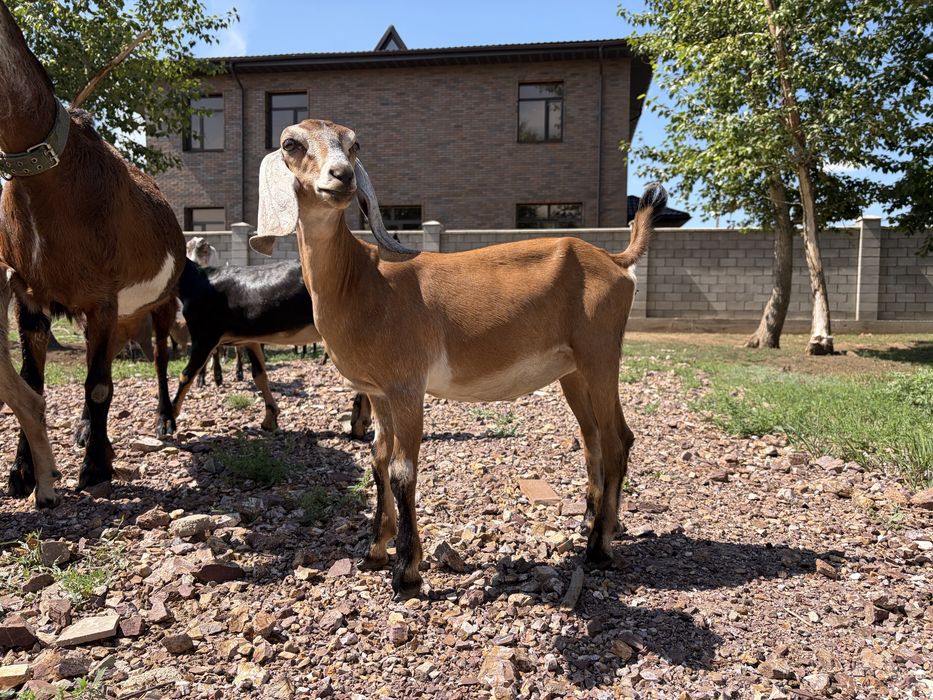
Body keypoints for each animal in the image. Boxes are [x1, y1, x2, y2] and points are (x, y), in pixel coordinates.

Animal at [0, 1, 184, 503]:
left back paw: (164, 421)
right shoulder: (30, 296)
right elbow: (31, 384)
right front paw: (23, 473)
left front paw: (97, 469)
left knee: (159, 356)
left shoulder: (104, 298)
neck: (50, 177)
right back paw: (84, 430)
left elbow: (100, 385)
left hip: (162, 301)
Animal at [172, 258, 372, 438]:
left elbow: (186, 375)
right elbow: (259, 375)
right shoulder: (250, 340)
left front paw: (169, 419)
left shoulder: (205, 336)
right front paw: (270, 419)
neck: (197, 280)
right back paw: (362, 421)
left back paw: (359, 423)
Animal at [251, 119, 666, 598]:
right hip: (573, 370)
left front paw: (407, 572)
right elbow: (376, 459)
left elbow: (402, 470)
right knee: (594, 439)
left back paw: (598, 549)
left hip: (601, 353)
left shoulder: (407, 385)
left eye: (354, 145)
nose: (341, 177)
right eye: (291, 144)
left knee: (618, 440)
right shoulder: (378, 392)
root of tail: (617, 260)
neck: (361, 281)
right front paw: (374, 550)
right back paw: (591, 525)